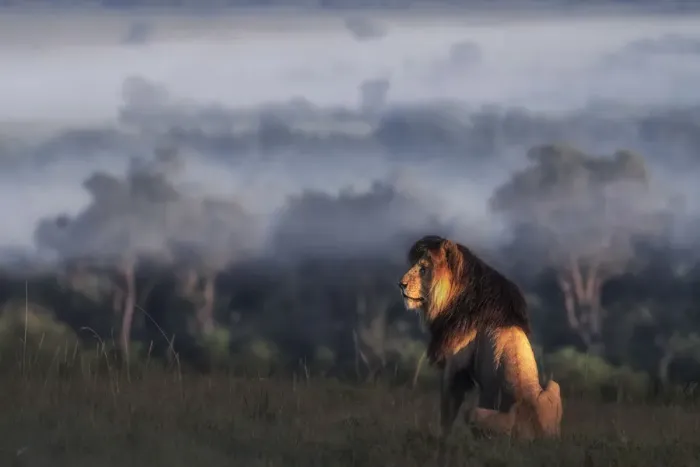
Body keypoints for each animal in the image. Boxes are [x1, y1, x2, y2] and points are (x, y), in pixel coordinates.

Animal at [398, 235, 562, 451]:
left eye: (423, 269)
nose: (400, 284)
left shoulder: (455, 366)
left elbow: (446, 412)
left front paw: (441, 442)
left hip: (475, 413)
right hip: (554, 386)